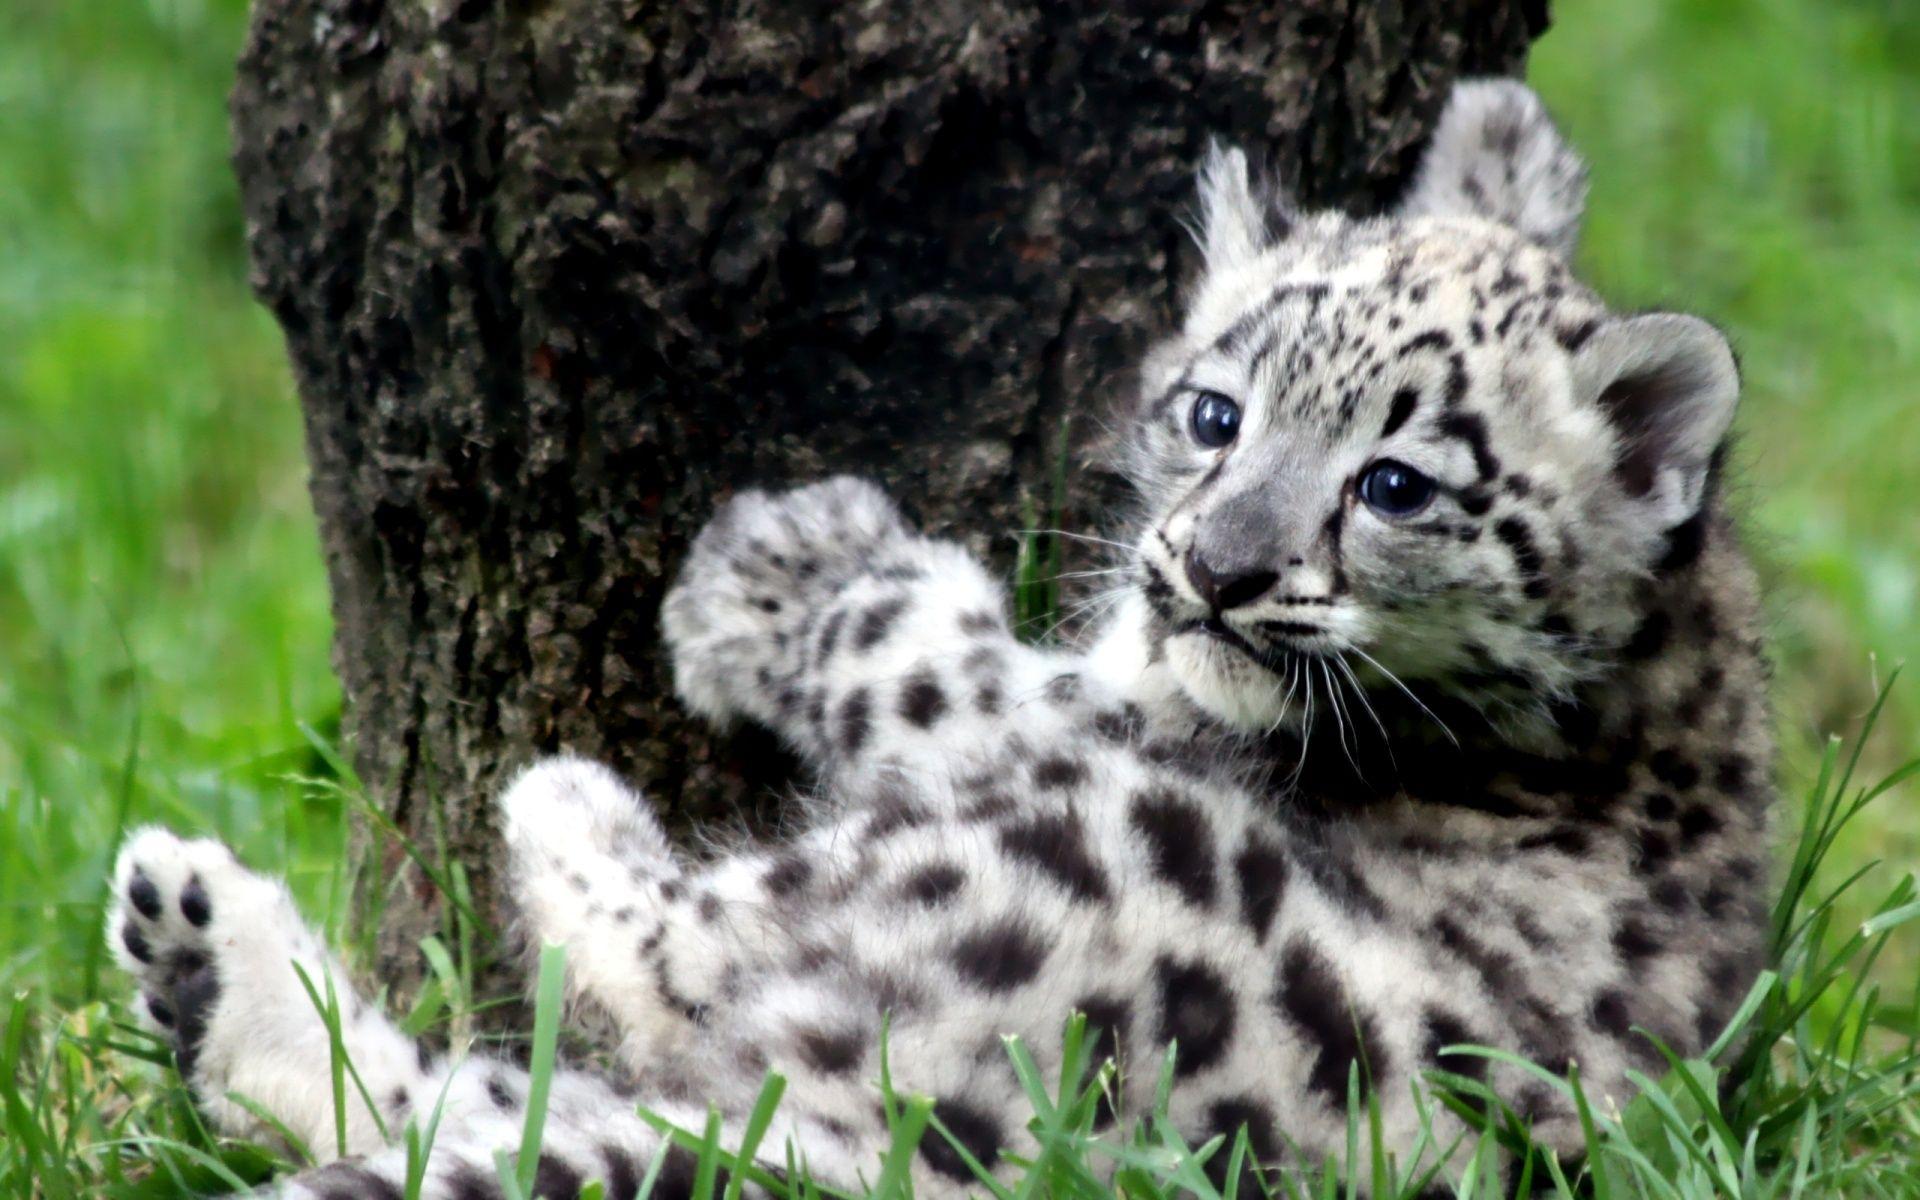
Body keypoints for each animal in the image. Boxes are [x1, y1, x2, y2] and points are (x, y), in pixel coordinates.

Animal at [106, 78, 1773, 1198]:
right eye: (1214, 413)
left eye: (1396, 484)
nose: (1217, 571)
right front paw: (1503, 143)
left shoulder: (1088, 716)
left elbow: (922, 652)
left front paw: (780, 570)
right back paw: (202, 954)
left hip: (1054, 847)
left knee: (659, 972)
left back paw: (526, 819)